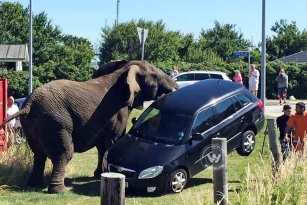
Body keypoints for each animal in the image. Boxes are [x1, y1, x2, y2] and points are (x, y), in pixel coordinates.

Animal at [0, 60, 178, 194]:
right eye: (157, 77)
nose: (177, 88)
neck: (124, 70)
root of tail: (28, 104)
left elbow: (102, 146)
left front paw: (99, 175)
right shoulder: (117, 111)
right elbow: (113, 140)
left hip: (31, 124)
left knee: (39, 154)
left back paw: (34, 184)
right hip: (55, 122)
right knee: (64, 153)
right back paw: (59, 191)